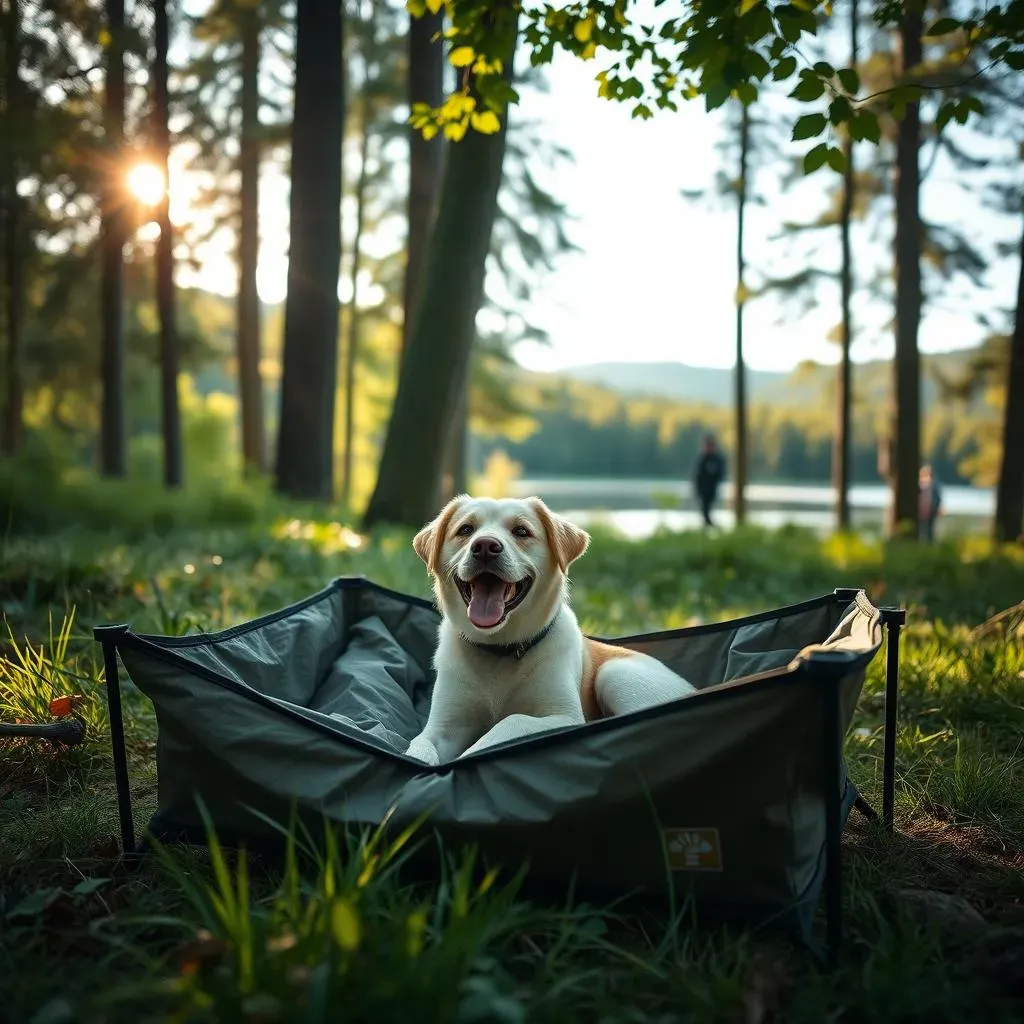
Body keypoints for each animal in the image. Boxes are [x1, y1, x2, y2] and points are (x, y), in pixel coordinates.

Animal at [403, 491, 700, 765]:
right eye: (465, 530)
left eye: (521, 531)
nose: (485, 546)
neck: (500, 650)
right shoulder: (442, 728)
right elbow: (420, 747)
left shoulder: (563, 717)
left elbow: (511, 721)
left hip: (616, 674)